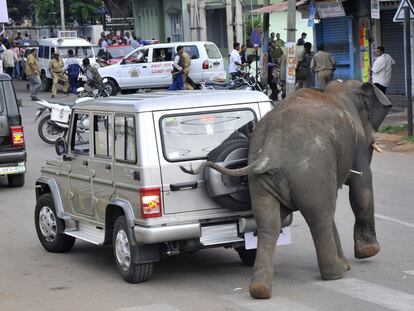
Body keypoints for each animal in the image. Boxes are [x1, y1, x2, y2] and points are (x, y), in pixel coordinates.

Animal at [181, 80, 392, 300]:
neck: (334, 91)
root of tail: (270, 150)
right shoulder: (356, 141)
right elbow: (361, 185)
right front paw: (369, 252)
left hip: (263, 181)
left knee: (269, 224)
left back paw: (260, 290)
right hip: (310, 170)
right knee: (319, 216)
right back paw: (335, 273)